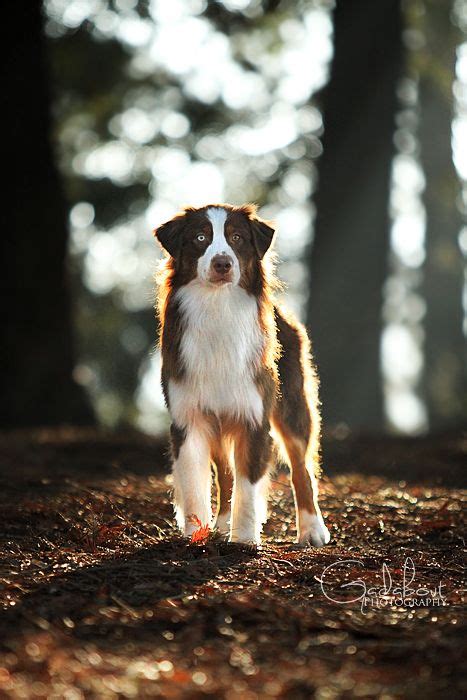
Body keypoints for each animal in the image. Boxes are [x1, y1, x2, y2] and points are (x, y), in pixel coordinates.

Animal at [154, 202, 330, 548]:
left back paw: (312, 529)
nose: (222, 263)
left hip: (291, 403)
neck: (216, 306)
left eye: (236, 238)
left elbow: (248, 486)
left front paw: (245, 540)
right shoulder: (188, 417)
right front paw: (196, 535)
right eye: (200, 237)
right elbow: (195, 484)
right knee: (224, 472)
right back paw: (221, 525)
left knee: (300, 466)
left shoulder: (253, 416)